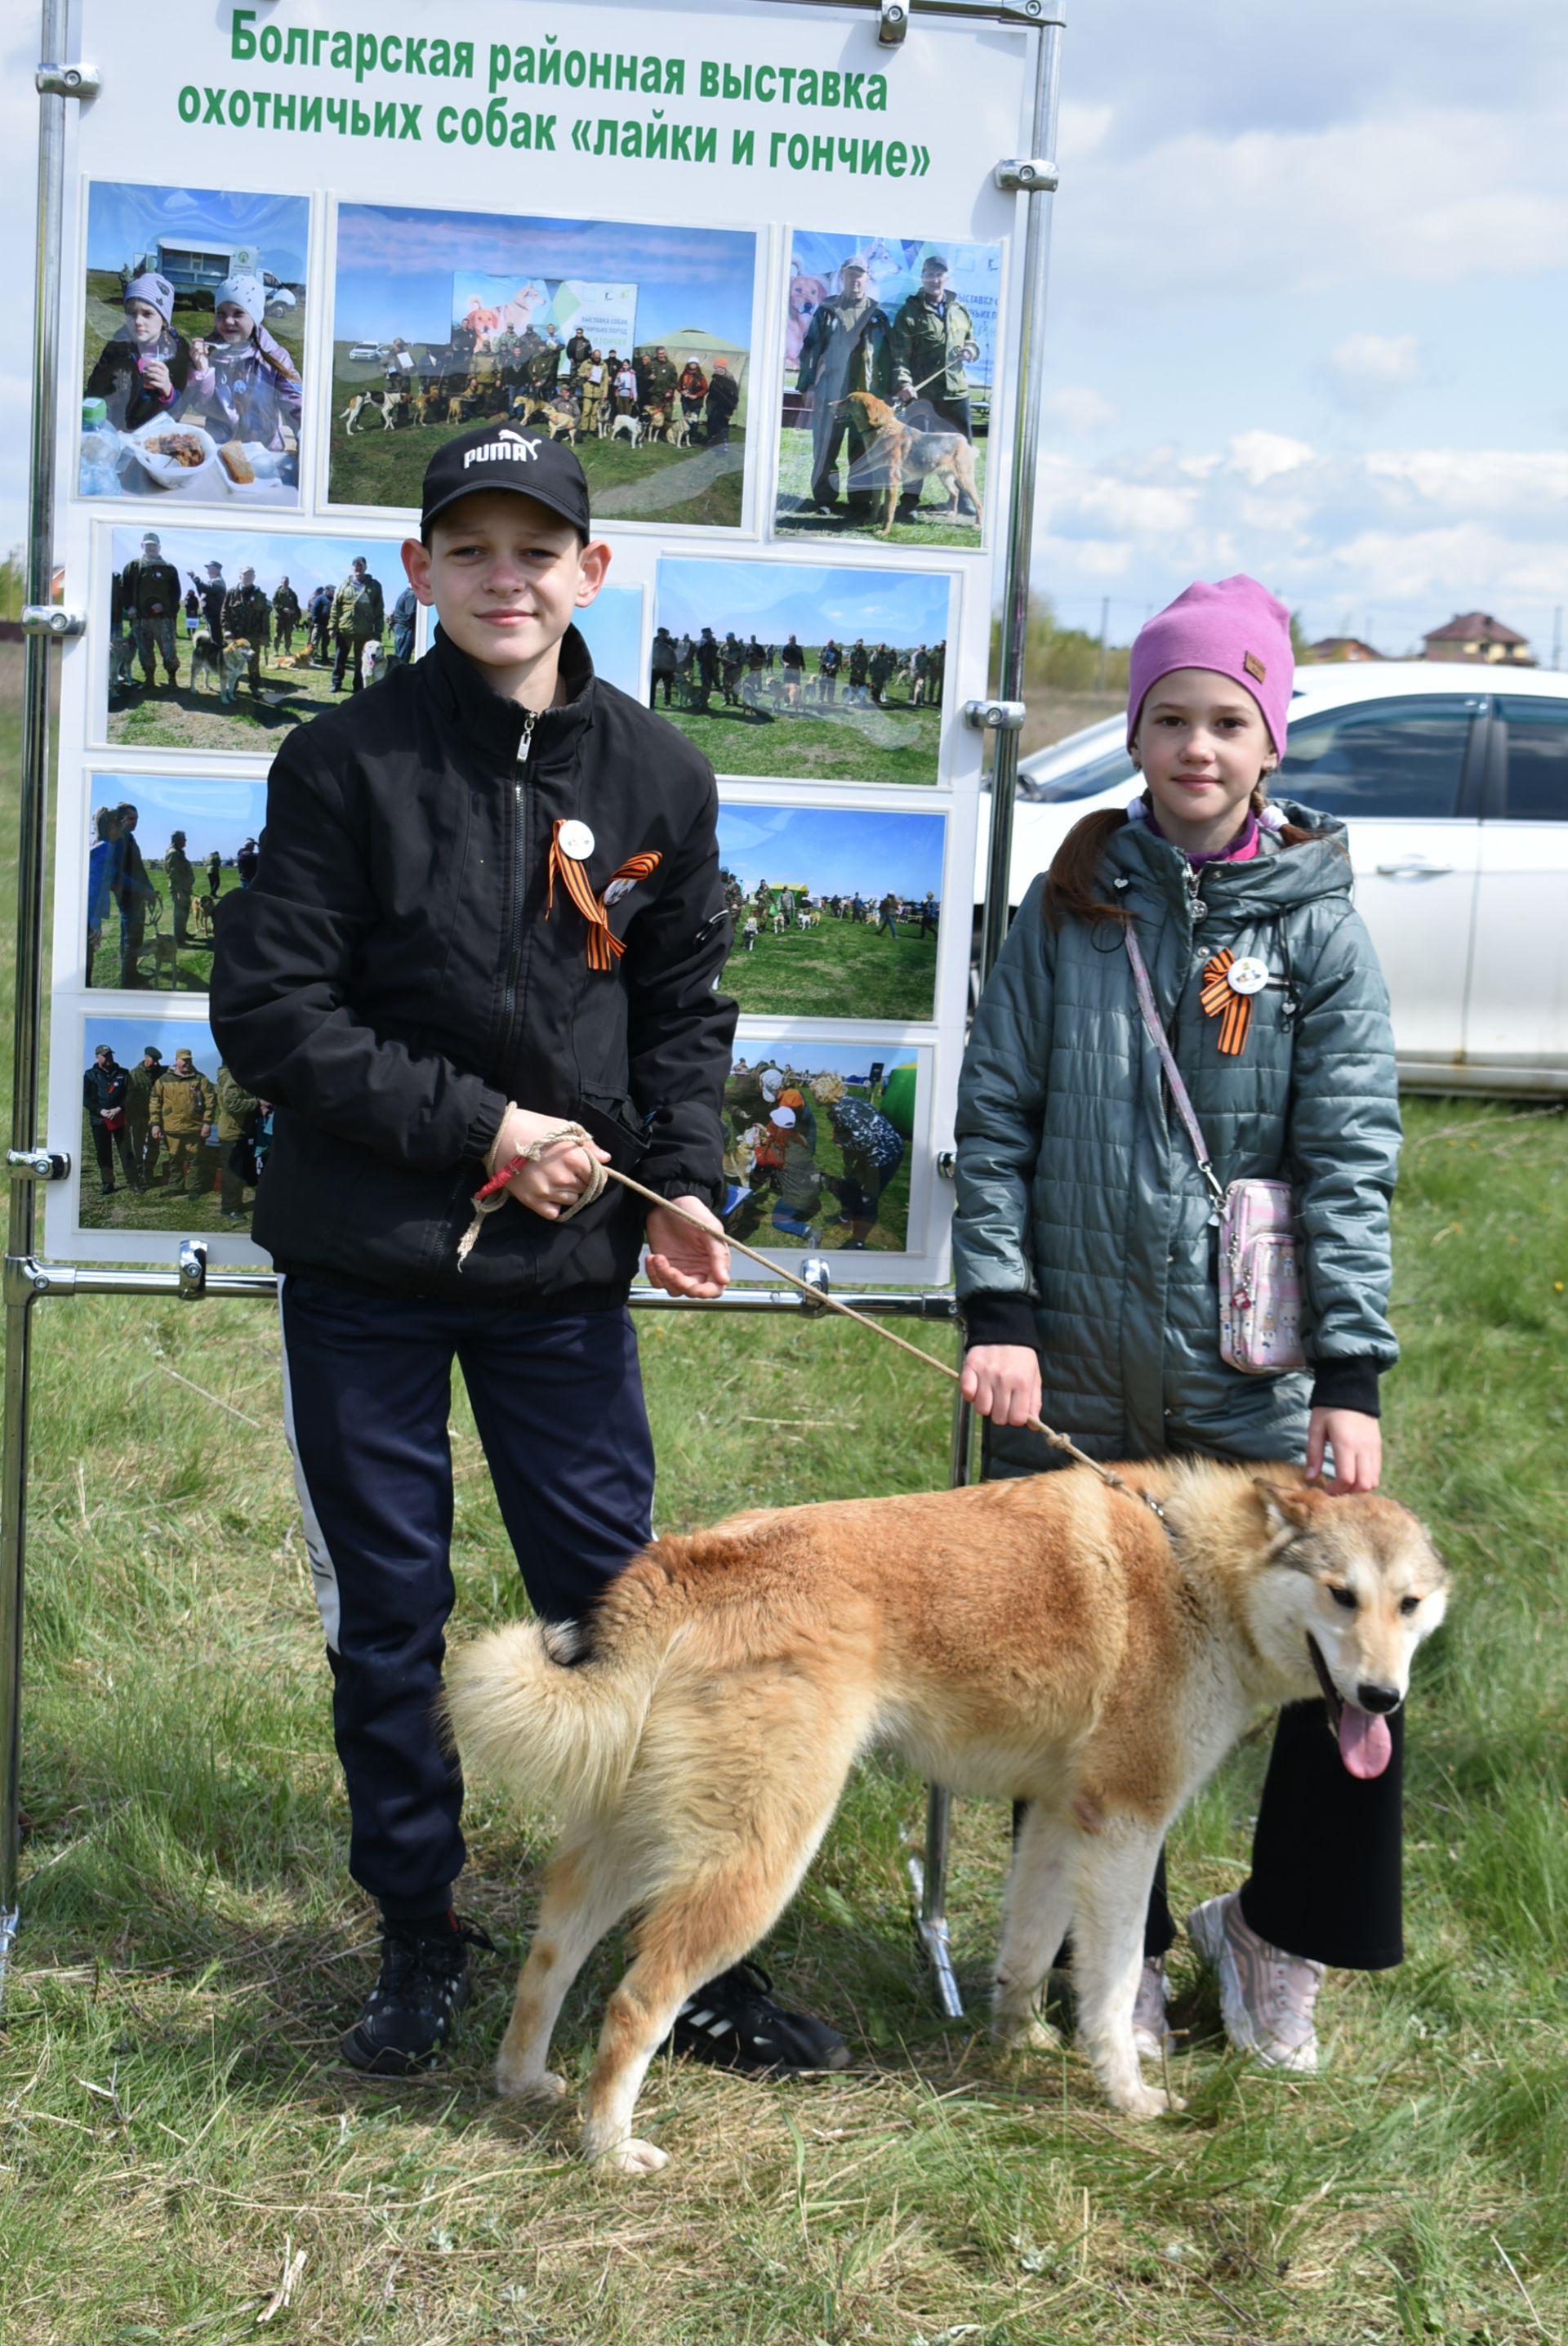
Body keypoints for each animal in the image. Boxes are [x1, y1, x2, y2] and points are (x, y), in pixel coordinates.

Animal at [443, 1464, 1443, 2177]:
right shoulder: (1127, 1827)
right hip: (759, 1859)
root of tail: (686, 1564)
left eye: (1410, 1604)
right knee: (636, 2003)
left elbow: (1030, 1951)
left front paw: (1020, 2040)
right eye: (1340, 1594)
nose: (1381, 1699)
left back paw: (524, 2081)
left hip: (628, 1839)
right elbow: (1115, 1983)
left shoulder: (1057, 1818)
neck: (1198, 1566)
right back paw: (610, 2149)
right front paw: (1126, 2094)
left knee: (549, 1958)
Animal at [844, 396, 979, 537]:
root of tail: (963, 440)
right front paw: (871, 521)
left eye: (848, 401)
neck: (882, 427)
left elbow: (888, 511)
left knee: (978, 503)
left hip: (964, 480)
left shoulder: (892, 483)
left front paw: (885, 531)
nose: (834, 404)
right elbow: (875, 504)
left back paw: (977, 525)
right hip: (945, 477)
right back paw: (952, 513)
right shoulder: (878, 479)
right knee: (955, 492)